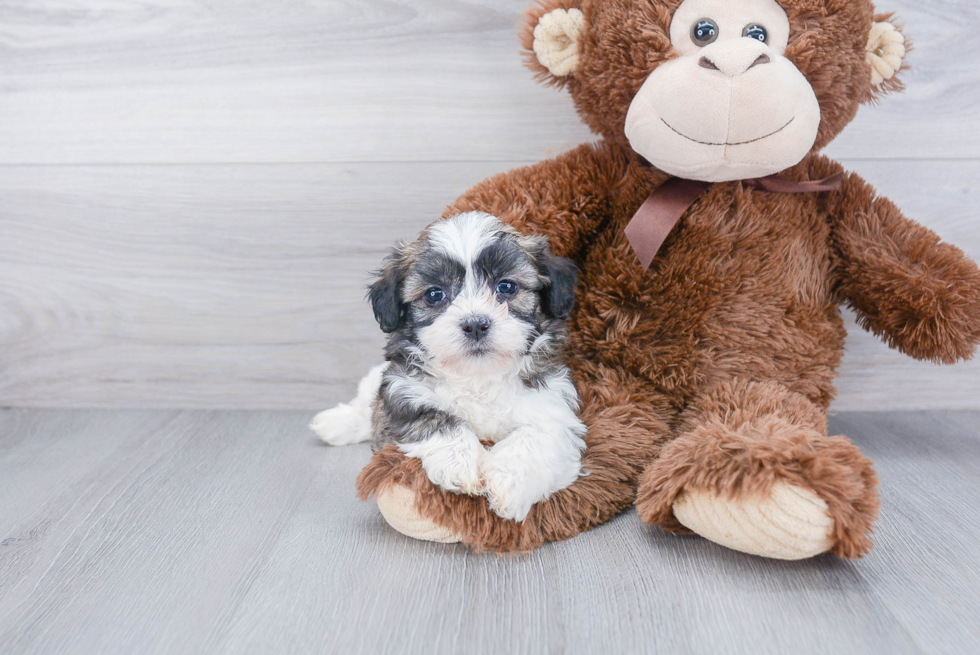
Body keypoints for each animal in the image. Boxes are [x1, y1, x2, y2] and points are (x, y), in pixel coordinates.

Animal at [314, 213, 584, 520]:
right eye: (434, 294)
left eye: (506, 286)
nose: (475, 324)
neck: (477, 375)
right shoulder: (402, 394)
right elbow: (434, 419)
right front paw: (460, 464)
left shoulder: (554, 407)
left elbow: (536, 435)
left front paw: (508, 483)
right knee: (365, 405)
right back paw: (335, 423)